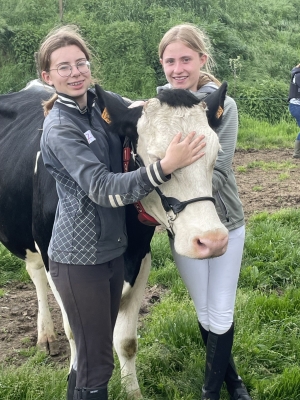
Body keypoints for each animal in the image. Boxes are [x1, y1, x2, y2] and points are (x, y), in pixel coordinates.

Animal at [0, 79, 227, 398]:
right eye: (159, 161)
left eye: (215, 154)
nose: (212, 239)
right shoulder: (54, 259)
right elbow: (77, 336)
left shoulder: (141, 259)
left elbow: (126, 342)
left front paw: (133, 392)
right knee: (36, 275)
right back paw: (46, 335)